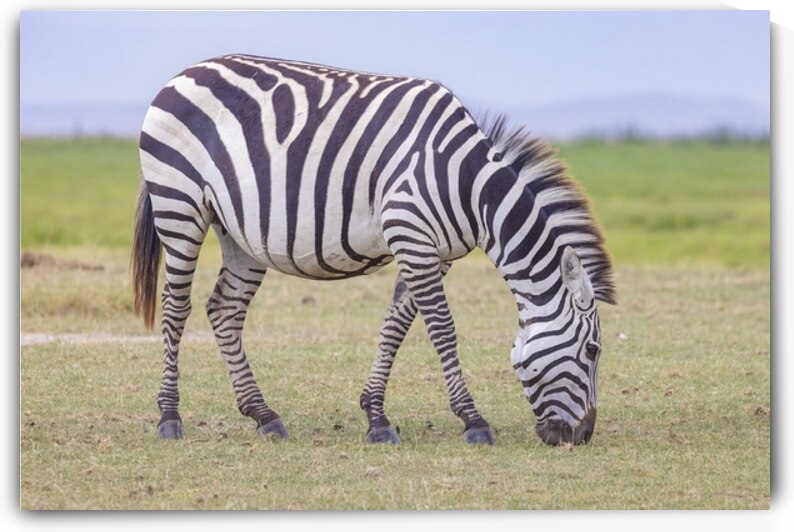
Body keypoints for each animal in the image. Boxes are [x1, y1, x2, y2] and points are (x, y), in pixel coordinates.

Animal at [132, 54, 615, 446]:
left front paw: (376, 418)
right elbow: (442, 329)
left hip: (240, 236)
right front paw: (473, 420)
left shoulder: (433, 251)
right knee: (176, 308)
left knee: (225, 309)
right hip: (180, 206)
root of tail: (184, 73)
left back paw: (264, 415)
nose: (582, 437)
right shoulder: (410, 234)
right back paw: (170, 418)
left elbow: (395, 326)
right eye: (593, 350)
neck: (468, 184)